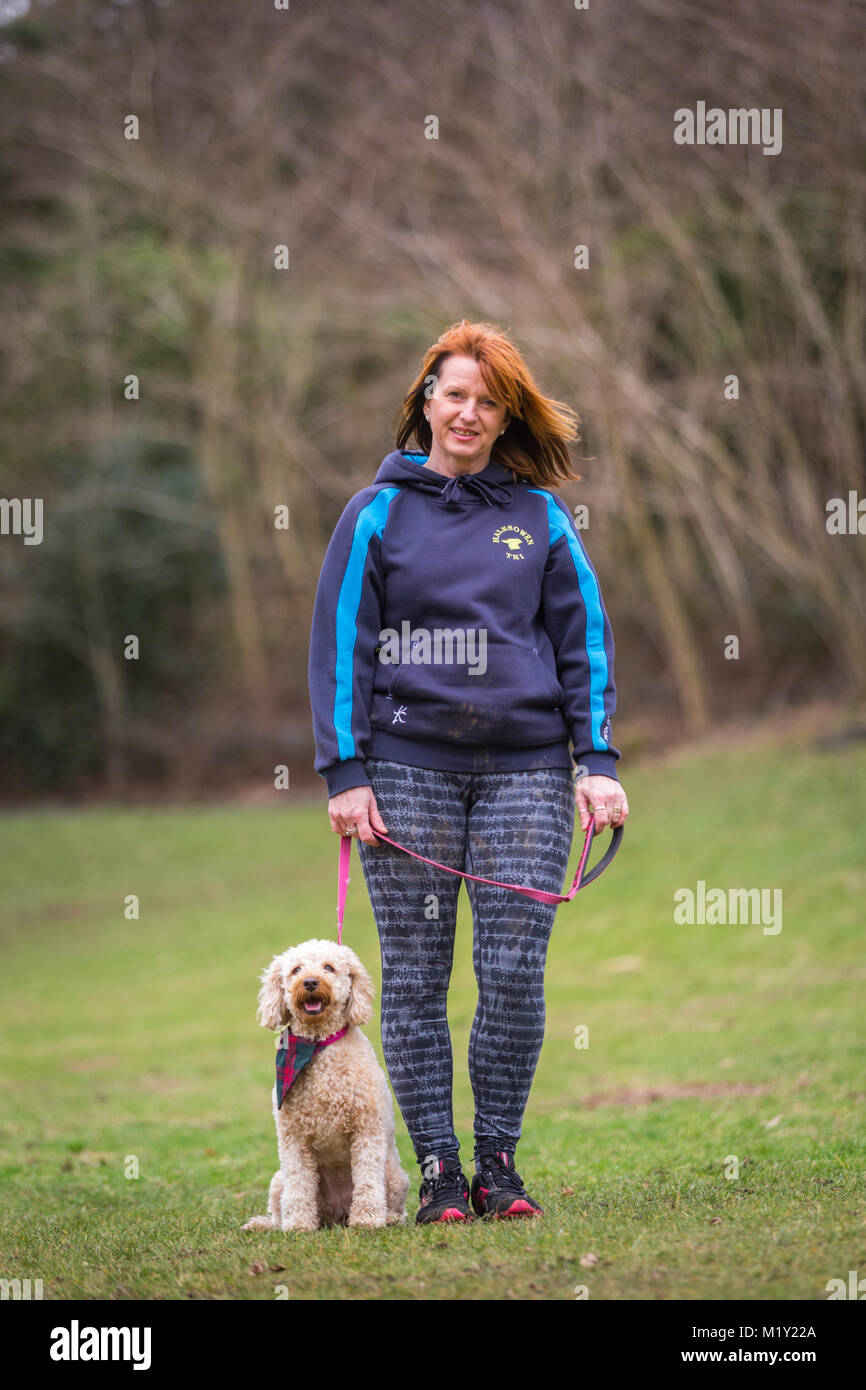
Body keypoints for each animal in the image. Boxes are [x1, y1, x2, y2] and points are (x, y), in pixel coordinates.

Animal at [240, 945, 408, 1228]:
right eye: (296, 969)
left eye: (329, 967)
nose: (309, 982)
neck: (318, 1043)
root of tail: (338, 1214)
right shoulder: (293, 1137)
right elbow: (298, 1183)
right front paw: (298, 1224)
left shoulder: (367, 1127)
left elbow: (367, 1179)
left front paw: (367, 1220)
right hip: (278, 1181)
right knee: (280, 1207)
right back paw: (268, 1225)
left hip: (396, 1176)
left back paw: (388, 1217)